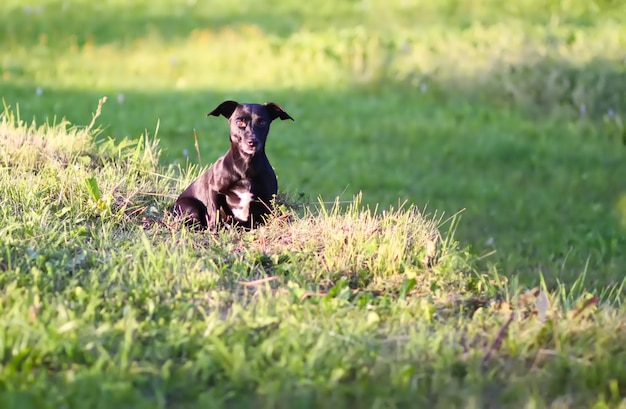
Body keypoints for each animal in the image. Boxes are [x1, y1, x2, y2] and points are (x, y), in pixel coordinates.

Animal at [171, 100, 292, 230]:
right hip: (192, 208)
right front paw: (214, 228)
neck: (245, 168)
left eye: (262, 122)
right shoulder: (214, 189)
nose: (252, 142)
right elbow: (214, 212)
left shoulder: (267, 201)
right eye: (239, 122)